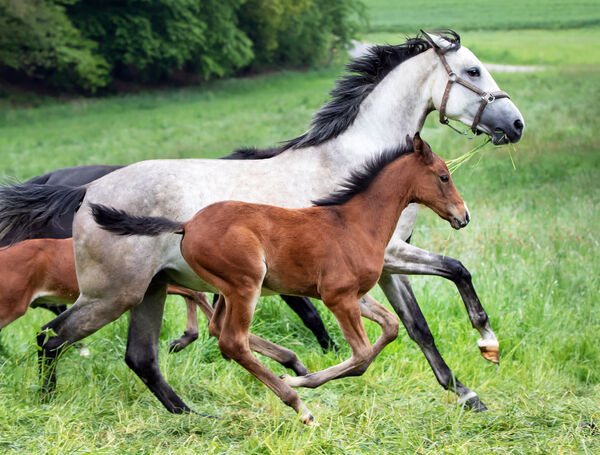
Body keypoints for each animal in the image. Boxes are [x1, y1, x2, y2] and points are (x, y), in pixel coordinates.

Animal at [92, 134, 468, 426]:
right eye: (443, 176)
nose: (463, 216)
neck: (355, 222)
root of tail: (186, 224)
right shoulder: (338, 296)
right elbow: (361, 355)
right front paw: (303, 381)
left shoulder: (356, 295)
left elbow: (390, 328)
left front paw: (304, 375)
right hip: (247, 286)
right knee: (233, 342)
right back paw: (298, 405)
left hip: (227, 290)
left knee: (217, 329)